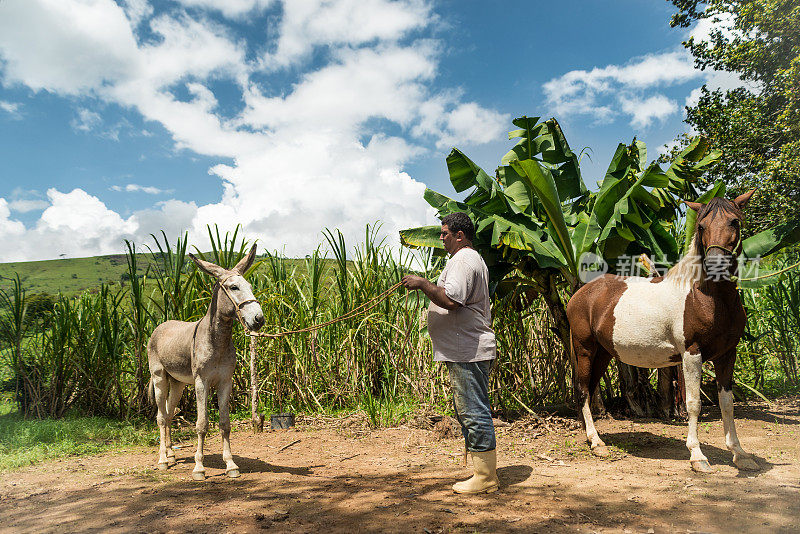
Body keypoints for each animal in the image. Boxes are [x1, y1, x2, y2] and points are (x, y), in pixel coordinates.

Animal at [564, 192, 760, 474]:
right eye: (701, 226)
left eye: (734, 222)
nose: (715, 264)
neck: (707, 297)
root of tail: (580, 293)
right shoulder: (692, 354)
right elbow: (693, 404)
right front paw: (697, 456)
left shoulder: (727, 355)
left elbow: (727, 404)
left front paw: (740, 454)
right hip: (585, 350)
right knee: (581, 390)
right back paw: (596, 443)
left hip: (603, 353)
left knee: (588, 391)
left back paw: (591, 437)